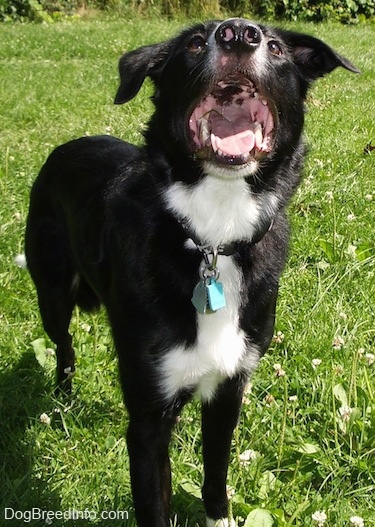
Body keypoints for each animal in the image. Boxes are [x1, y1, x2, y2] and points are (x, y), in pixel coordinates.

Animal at [25, 18, 360, 527]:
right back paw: (63, 397)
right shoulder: (147, 421)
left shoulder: (229, 390)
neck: (212, 237)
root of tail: (68, 145)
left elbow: (216, 478)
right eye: (195, 44)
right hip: (53, 293)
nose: (238, 33)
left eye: (277, 47)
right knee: (63, 345)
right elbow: (154, 503)